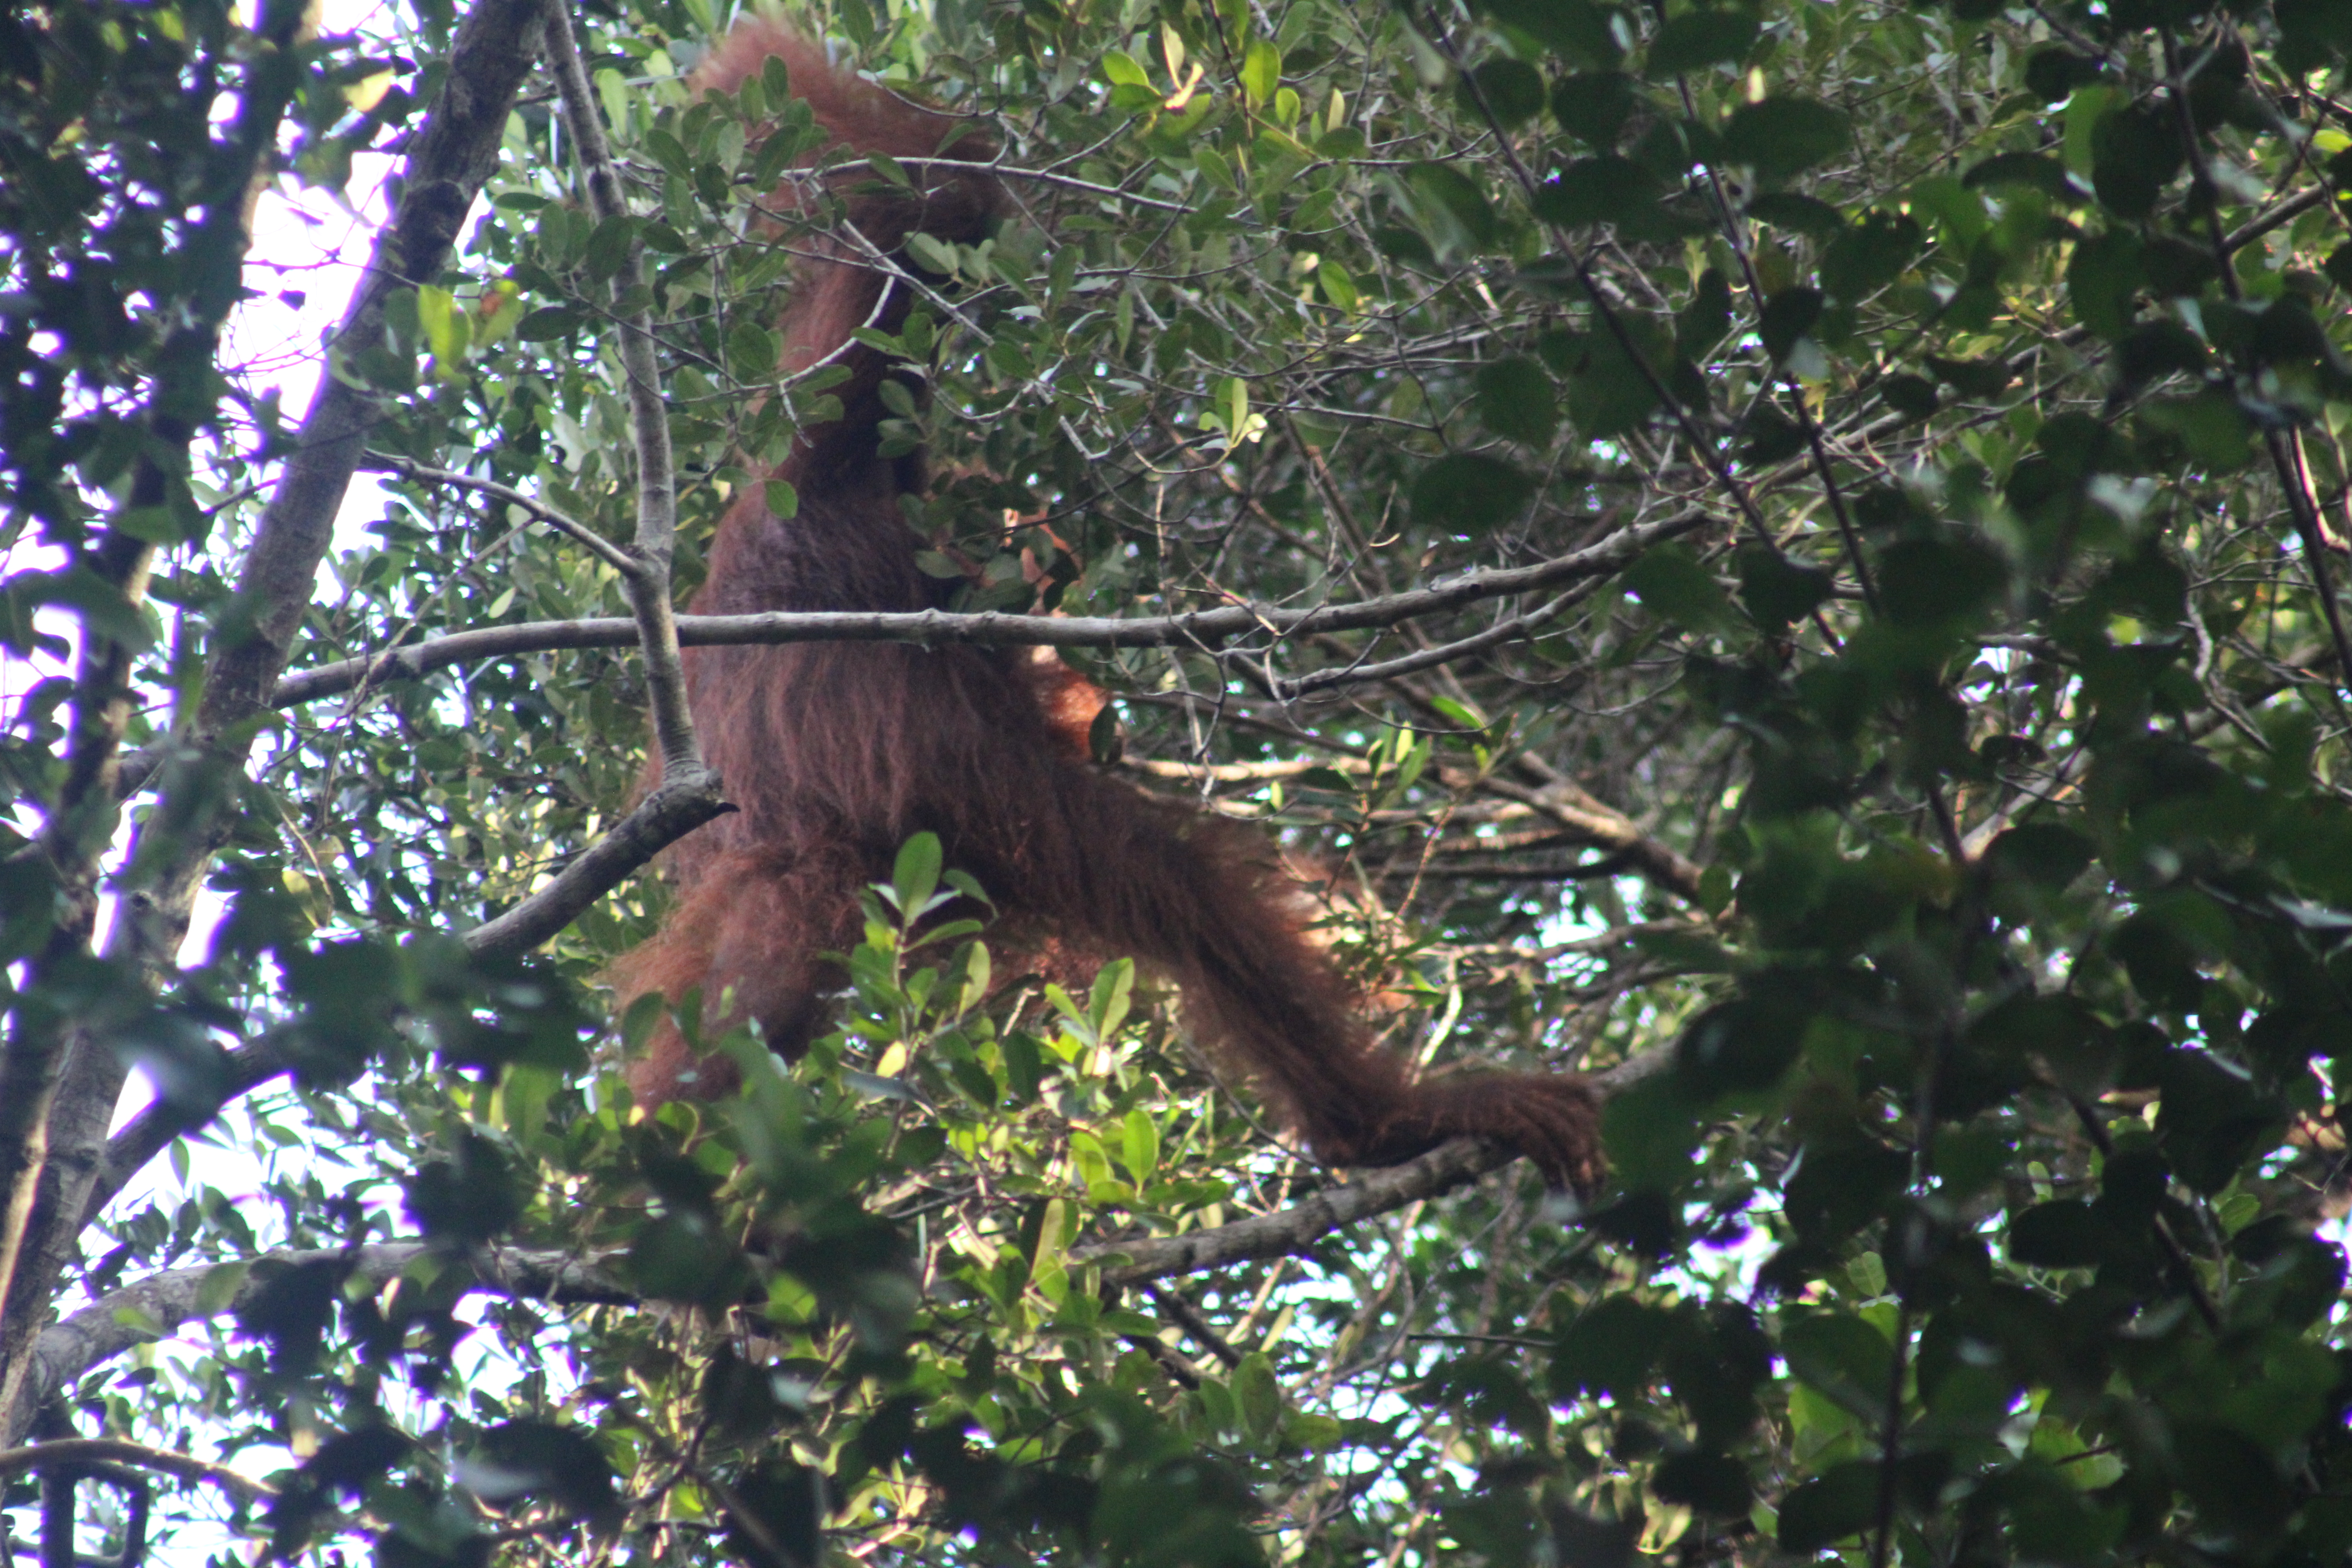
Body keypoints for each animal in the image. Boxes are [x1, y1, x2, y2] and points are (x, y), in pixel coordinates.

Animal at [608, 20, 1606, 1196]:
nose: (1049, 574)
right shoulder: (840, 458)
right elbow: (933, 199)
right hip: (968, 810)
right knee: (1167, 877)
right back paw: (1382, 1123)